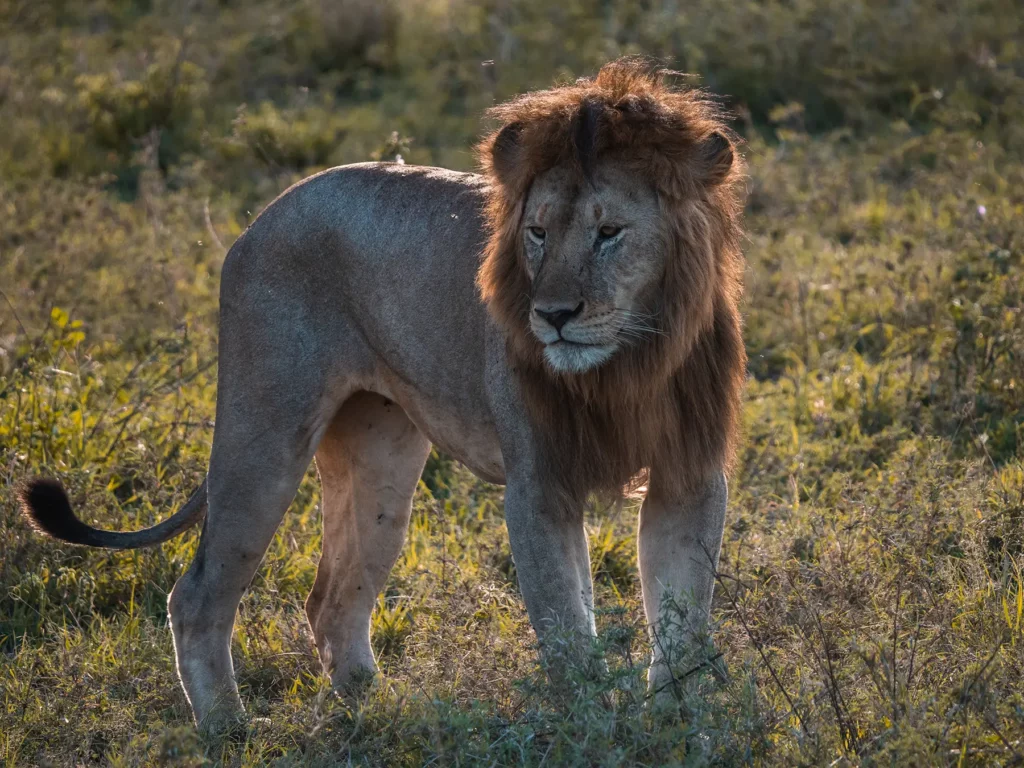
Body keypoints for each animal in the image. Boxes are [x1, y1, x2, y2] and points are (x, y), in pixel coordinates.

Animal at [19, 58, 746, 731]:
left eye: (609, 232)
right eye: (537, 233)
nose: (554, 316)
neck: (627, 365)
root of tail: (265, 214)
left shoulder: (688, 473)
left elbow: (682, 620)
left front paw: (680, 727)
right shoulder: (539, 483)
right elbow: (567, 630)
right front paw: (591, 728)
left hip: (380, 462)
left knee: (332, 601)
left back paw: (379, 714)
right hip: (265, 435)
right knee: (197, 595)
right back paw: (229, 731)